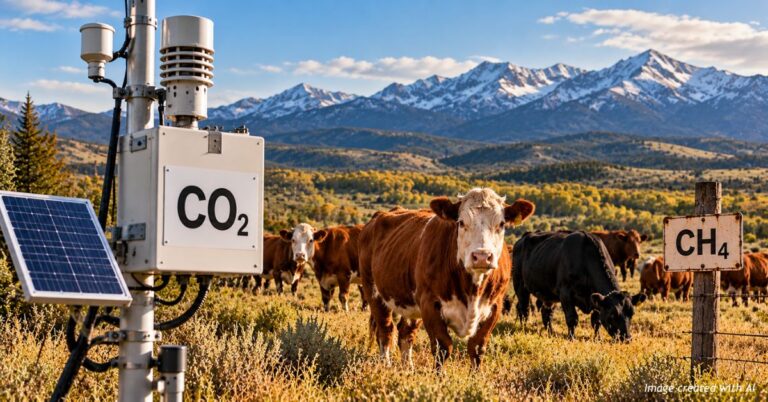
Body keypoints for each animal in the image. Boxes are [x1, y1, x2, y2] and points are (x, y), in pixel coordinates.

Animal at [360, 188, 535, 369]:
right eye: (461, 222)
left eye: (501, 224)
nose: (481, 257)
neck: (473, 289)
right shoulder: (429, 304)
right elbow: (442, 348)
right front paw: (439, 376)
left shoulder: (495, 306)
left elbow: (477, 348)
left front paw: (475, 375)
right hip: (373, 290)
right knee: (385, 330)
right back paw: (385, 365)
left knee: (406, 333)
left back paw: (408, 368)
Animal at [513, 230, 646, 341]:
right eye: (612, 314)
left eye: (631, 313)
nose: (627, 338)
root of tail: (522, 238)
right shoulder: (565, 294)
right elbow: (572, 318)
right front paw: (571, 338)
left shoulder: (595, 300)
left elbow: (596, 321)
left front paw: (597, 338)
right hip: (520, 285)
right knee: (523, 309)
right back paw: (524, 329)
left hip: (548, 295)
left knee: (546, 313)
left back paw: (551, 333)